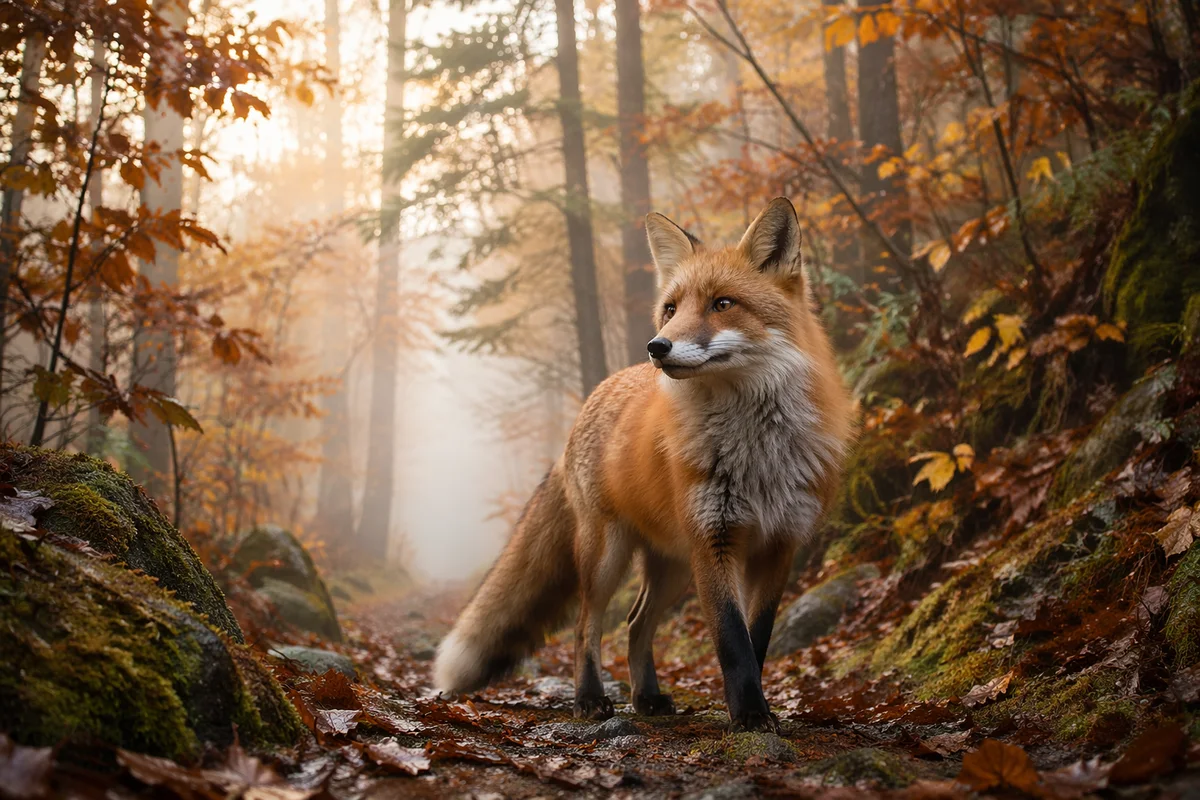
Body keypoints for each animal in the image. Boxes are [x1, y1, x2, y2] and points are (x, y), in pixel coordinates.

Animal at [434, 197, 854, 731]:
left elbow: (756, 640)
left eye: (722, 304)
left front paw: (756, 710)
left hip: (671, 566)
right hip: (607, 555)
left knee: (635, 623)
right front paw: (749, 715)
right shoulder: (714, 540)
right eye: (671, 309)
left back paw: (647, 697)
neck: (756, 448)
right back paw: (590, 699)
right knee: (586, 626)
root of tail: (594, 396)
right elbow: (732, 642)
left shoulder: (779, 545)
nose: (657, 346)